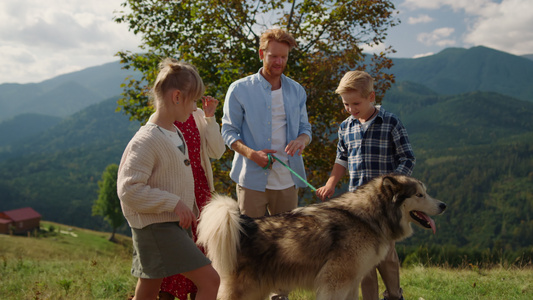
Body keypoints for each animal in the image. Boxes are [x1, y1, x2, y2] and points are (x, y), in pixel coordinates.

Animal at [195, 175, 444, 298]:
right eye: (420, 195)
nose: (443, 205)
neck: (367, 217)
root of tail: (244, 224)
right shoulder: (334, 282)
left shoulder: (352, 282)